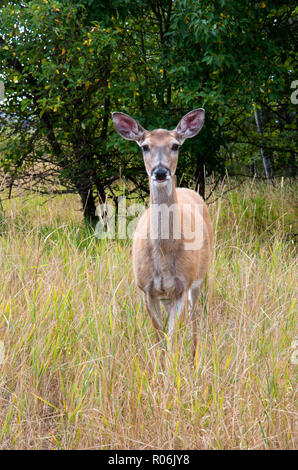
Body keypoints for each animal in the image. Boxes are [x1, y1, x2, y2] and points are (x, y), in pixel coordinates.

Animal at [112, 109, 212, 360]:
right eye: (145, 146)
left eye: (175, 145)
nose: (160, 172)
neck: (163, 253)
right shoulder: (146, 289)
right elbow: (160, 338)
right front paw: (160, 368)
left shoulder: (183, 285)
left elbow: (172, 338)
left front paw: (174, 368)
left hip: (199, 279)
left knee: (195, 319)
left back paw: (194, 355)